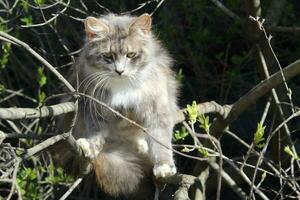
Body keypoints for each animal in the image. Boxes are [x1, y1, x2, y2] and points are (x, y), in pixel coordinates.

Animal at [54, 12, 178, 198]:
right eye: (108, 56)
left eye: (131, 55)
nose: (120, 71)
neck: (122, 87)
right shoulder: (93, 107)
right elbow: (96, 132)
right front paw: (90, 146)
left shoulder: (157, 110)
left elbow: (161, 141)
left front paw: (164, 165)